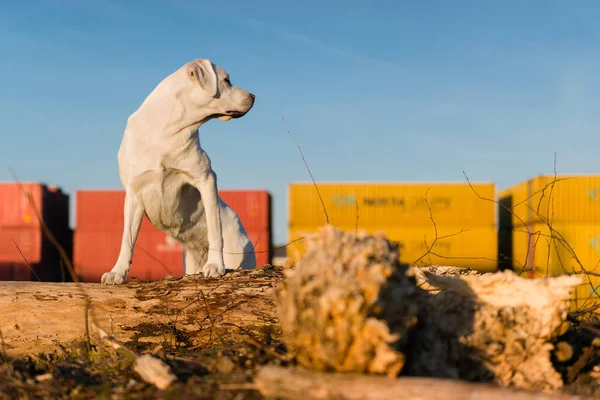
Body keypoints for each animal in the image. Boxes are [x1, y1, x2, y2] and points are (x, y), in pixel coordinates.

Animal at [101, 58, 255, 284]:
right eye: (226, 80)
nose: (253, 96)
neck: (167, 130)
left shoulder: (206, 179)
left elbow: (215, 229)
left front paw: (215, 265)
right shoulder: (134, 193)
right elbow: (127, 241)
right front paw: (117, 272)